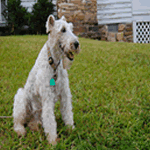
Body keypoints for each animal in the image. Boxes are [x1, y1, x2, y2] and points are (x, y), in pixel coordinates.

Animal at [12, 14, 80, 145]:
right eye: (63, 30)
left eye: (71, 28)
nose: (76, 44)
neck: (53, 63)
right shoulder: (47, 96)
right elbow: (49, 119)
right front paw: (53, 140)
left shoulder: (65, 93)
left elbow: (67, 112)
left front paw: (71, 129)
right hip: (21, 99)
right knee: (18, 121)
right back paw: (20, 131)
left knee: (33, 122)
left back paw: (35, 126)